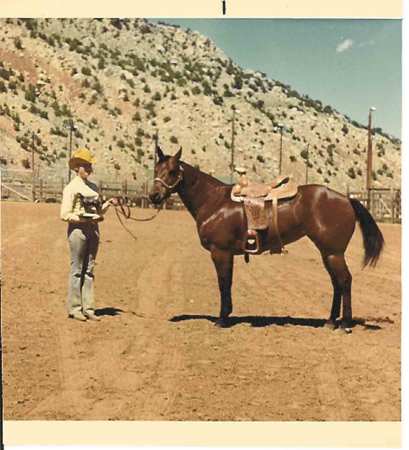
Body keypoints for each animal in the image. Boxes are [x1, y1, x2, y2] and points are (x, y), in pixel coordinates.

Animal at [148, 146, 384, 332]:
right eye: (156, 170)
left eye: (172, 171)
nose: (153, 196)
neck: (213, 201)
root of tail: (346, 199)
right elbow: (227, 283)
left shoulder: (220, 252)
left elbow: (224, 283)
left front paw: (222, 319)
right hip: (327, 253)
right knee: (336, 283)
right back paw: (330, 321)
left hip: (334, 253)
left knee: (344, 281)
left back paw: (345, 324)